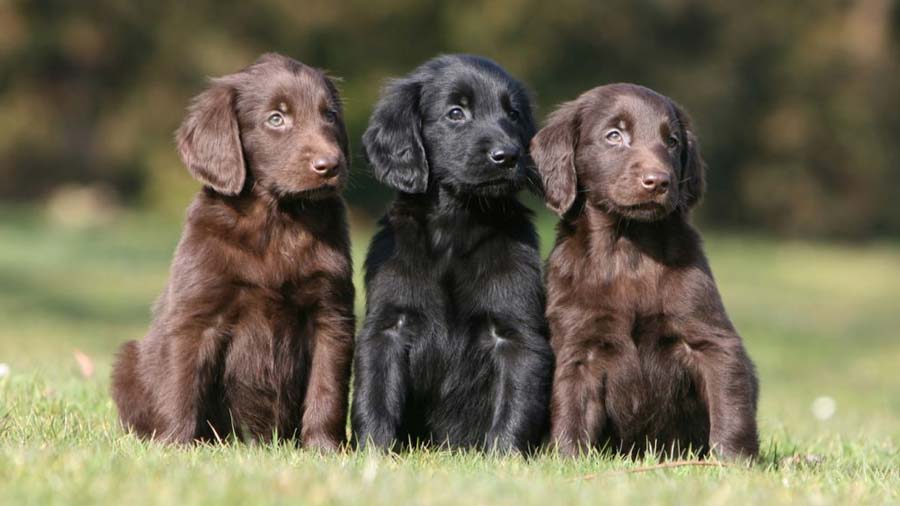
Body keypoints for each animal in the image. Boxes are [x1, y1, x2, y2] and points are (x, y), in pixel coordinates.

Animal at [109, 54, 356, 450]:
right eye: (276, 118)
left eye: (329, 115)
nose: (330, 165)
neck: (276, 221)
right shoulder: (197, 318)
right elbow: (181, 387)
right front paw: (175, 446)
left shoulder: (331, 315)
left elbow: (327, 390)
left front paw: (324, 449)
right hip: (128, 361)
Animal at [354, 53, 556, 452]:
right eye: (455, 113)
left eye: (513, 114)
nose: (508, 156)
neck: (455, 227)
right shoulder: (387, 327)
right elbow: (375, 395)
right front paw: (373, 453)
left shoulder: (516, 333)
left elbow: (516, 401)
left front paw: (504, 457)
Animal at [536, 83, 760, 458]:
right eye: (614, 136)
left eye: (672, 141)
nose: (658, 181)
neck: (629, 250)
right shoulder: (577, 347)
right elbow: (570, 409)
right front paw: (566, 459)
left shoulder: (712, 341)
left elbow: (730, 404)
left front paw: (733, 461)